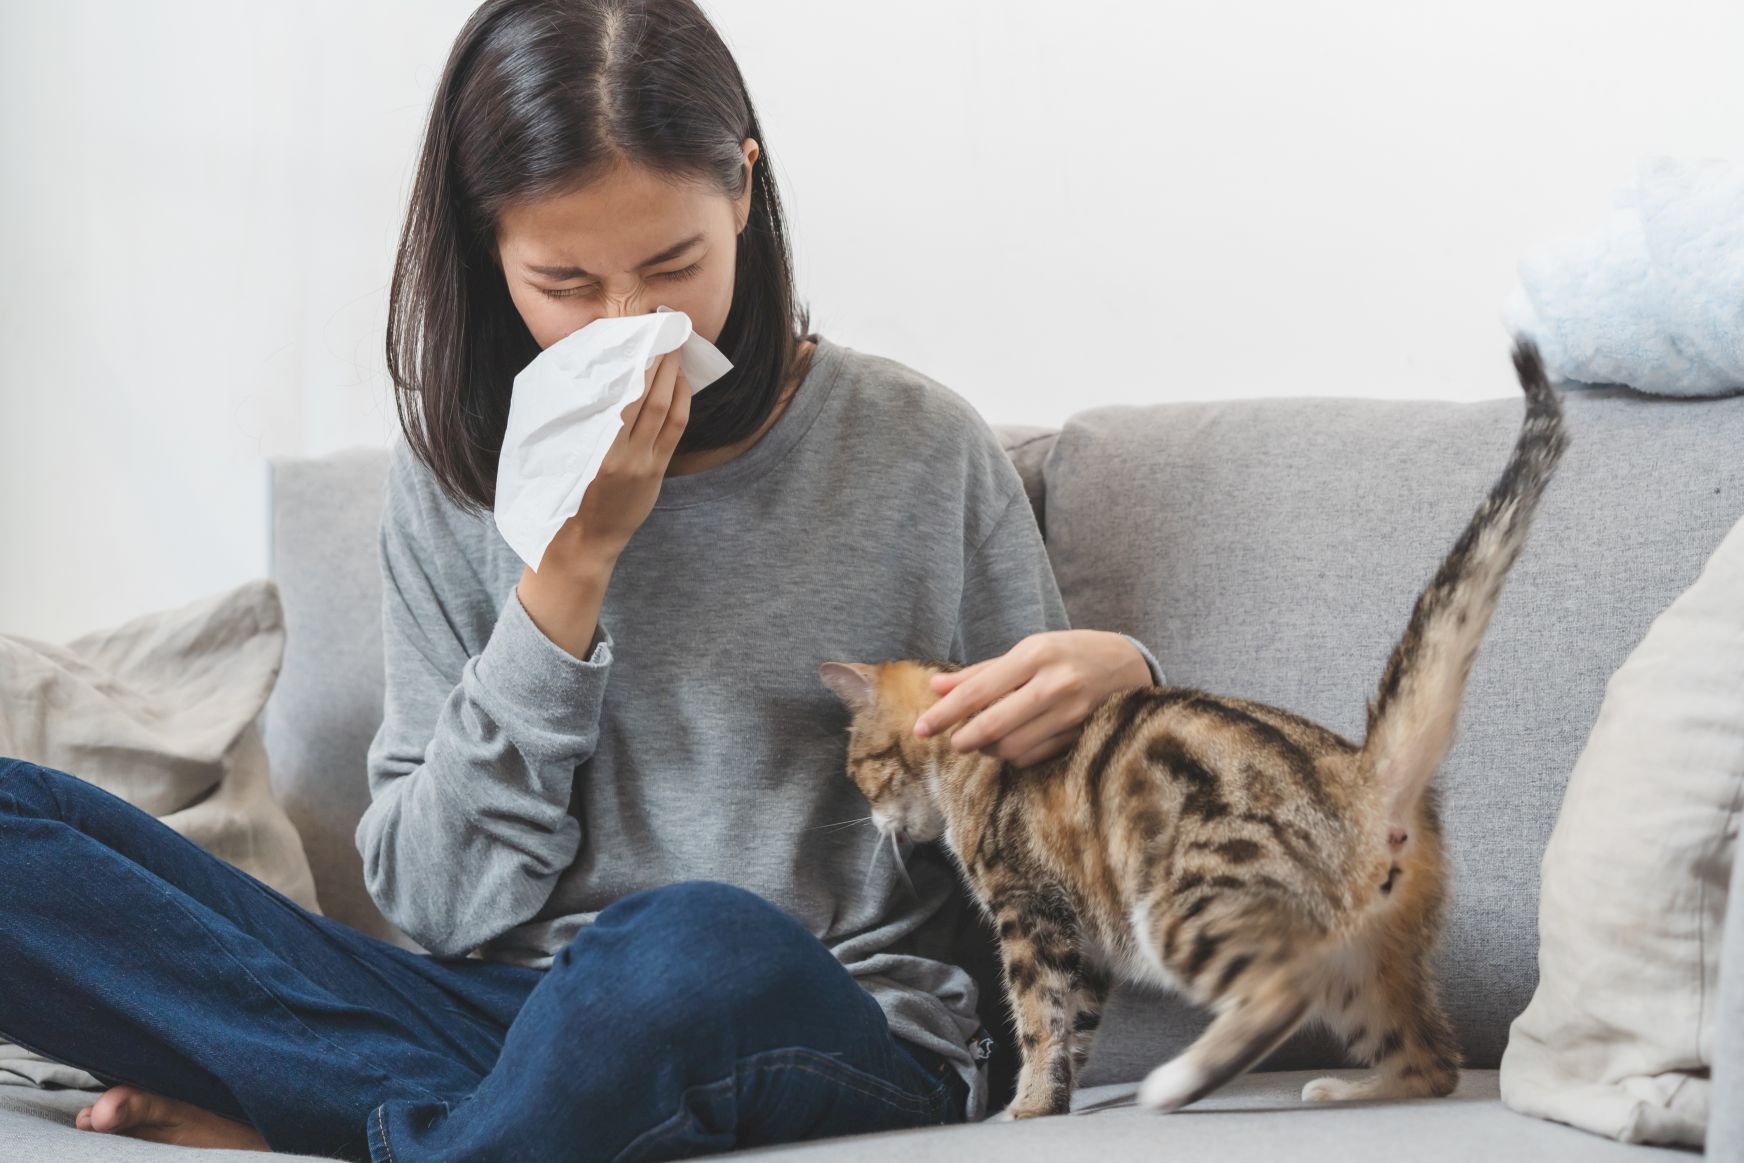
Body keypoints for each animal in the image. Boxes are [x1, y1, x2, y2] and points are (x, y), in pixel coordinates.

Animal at [816, 336, 1569, 1115]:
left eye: (858, 770)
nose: (873, 822)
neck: (962, 760)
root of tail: (1359, 775)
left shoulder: (1031, 910)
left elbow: (1039, 1017)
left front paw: (1026, 1105)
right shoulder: (1083, 942)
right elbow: (1075, 1025)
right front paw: (1056, 1099)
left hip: (1185, 908)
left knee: (1284, 992)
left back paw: (1179, 1080)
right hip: (1368, 958)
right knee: (1431, 1059)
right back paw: (1343, 1089)